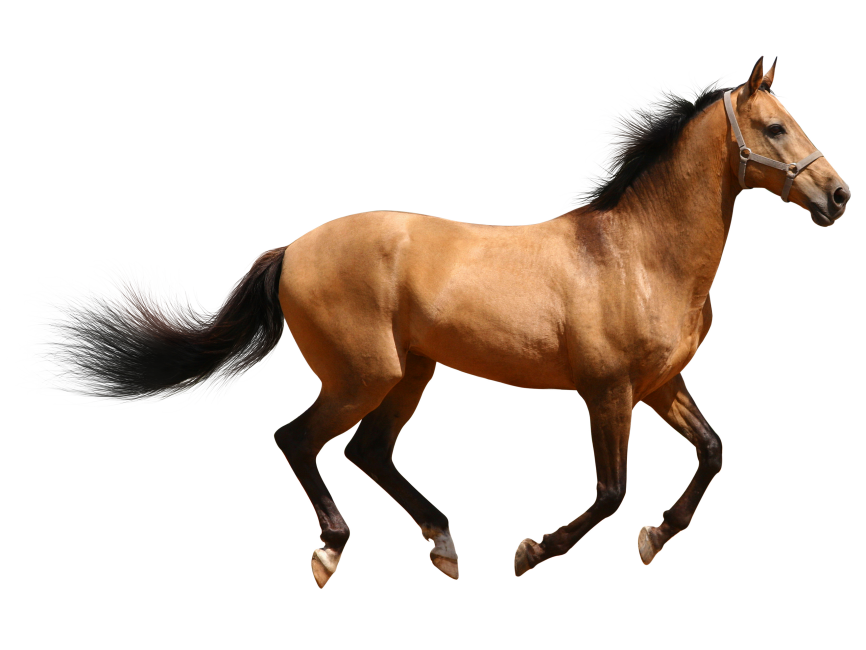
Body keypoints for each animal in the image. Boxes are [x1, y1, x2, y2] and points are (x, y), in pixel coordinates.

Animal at [12, 55, 850, 589]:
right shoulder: (607, 390)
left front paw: (654, 538)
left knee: (368, 453)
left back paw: (443, 544)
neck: (638, 253)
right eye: (775, 128)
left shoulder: (660, 384)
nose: (838, 196)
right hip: (366, 373)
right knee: (301, 440)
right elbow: (611, 491)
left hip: (411, 373)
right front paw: (531, 552)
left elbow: (711, 452)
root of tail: (293, 247)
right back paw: (332, 552)